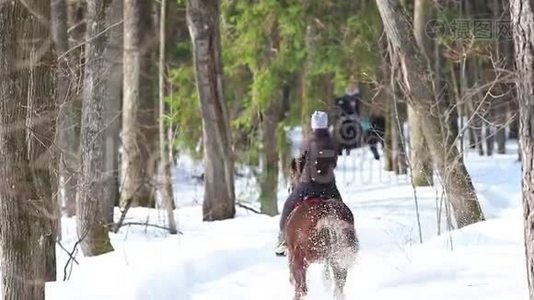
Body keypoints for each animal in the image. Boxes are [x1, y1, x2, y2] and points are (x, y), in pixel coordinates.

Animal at [284, 158, 360, 298]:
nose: (289, 188)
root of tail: (328, 214)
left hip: (300, 260)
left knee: (302, 289)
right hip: (338, 259)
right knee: (339, 287)